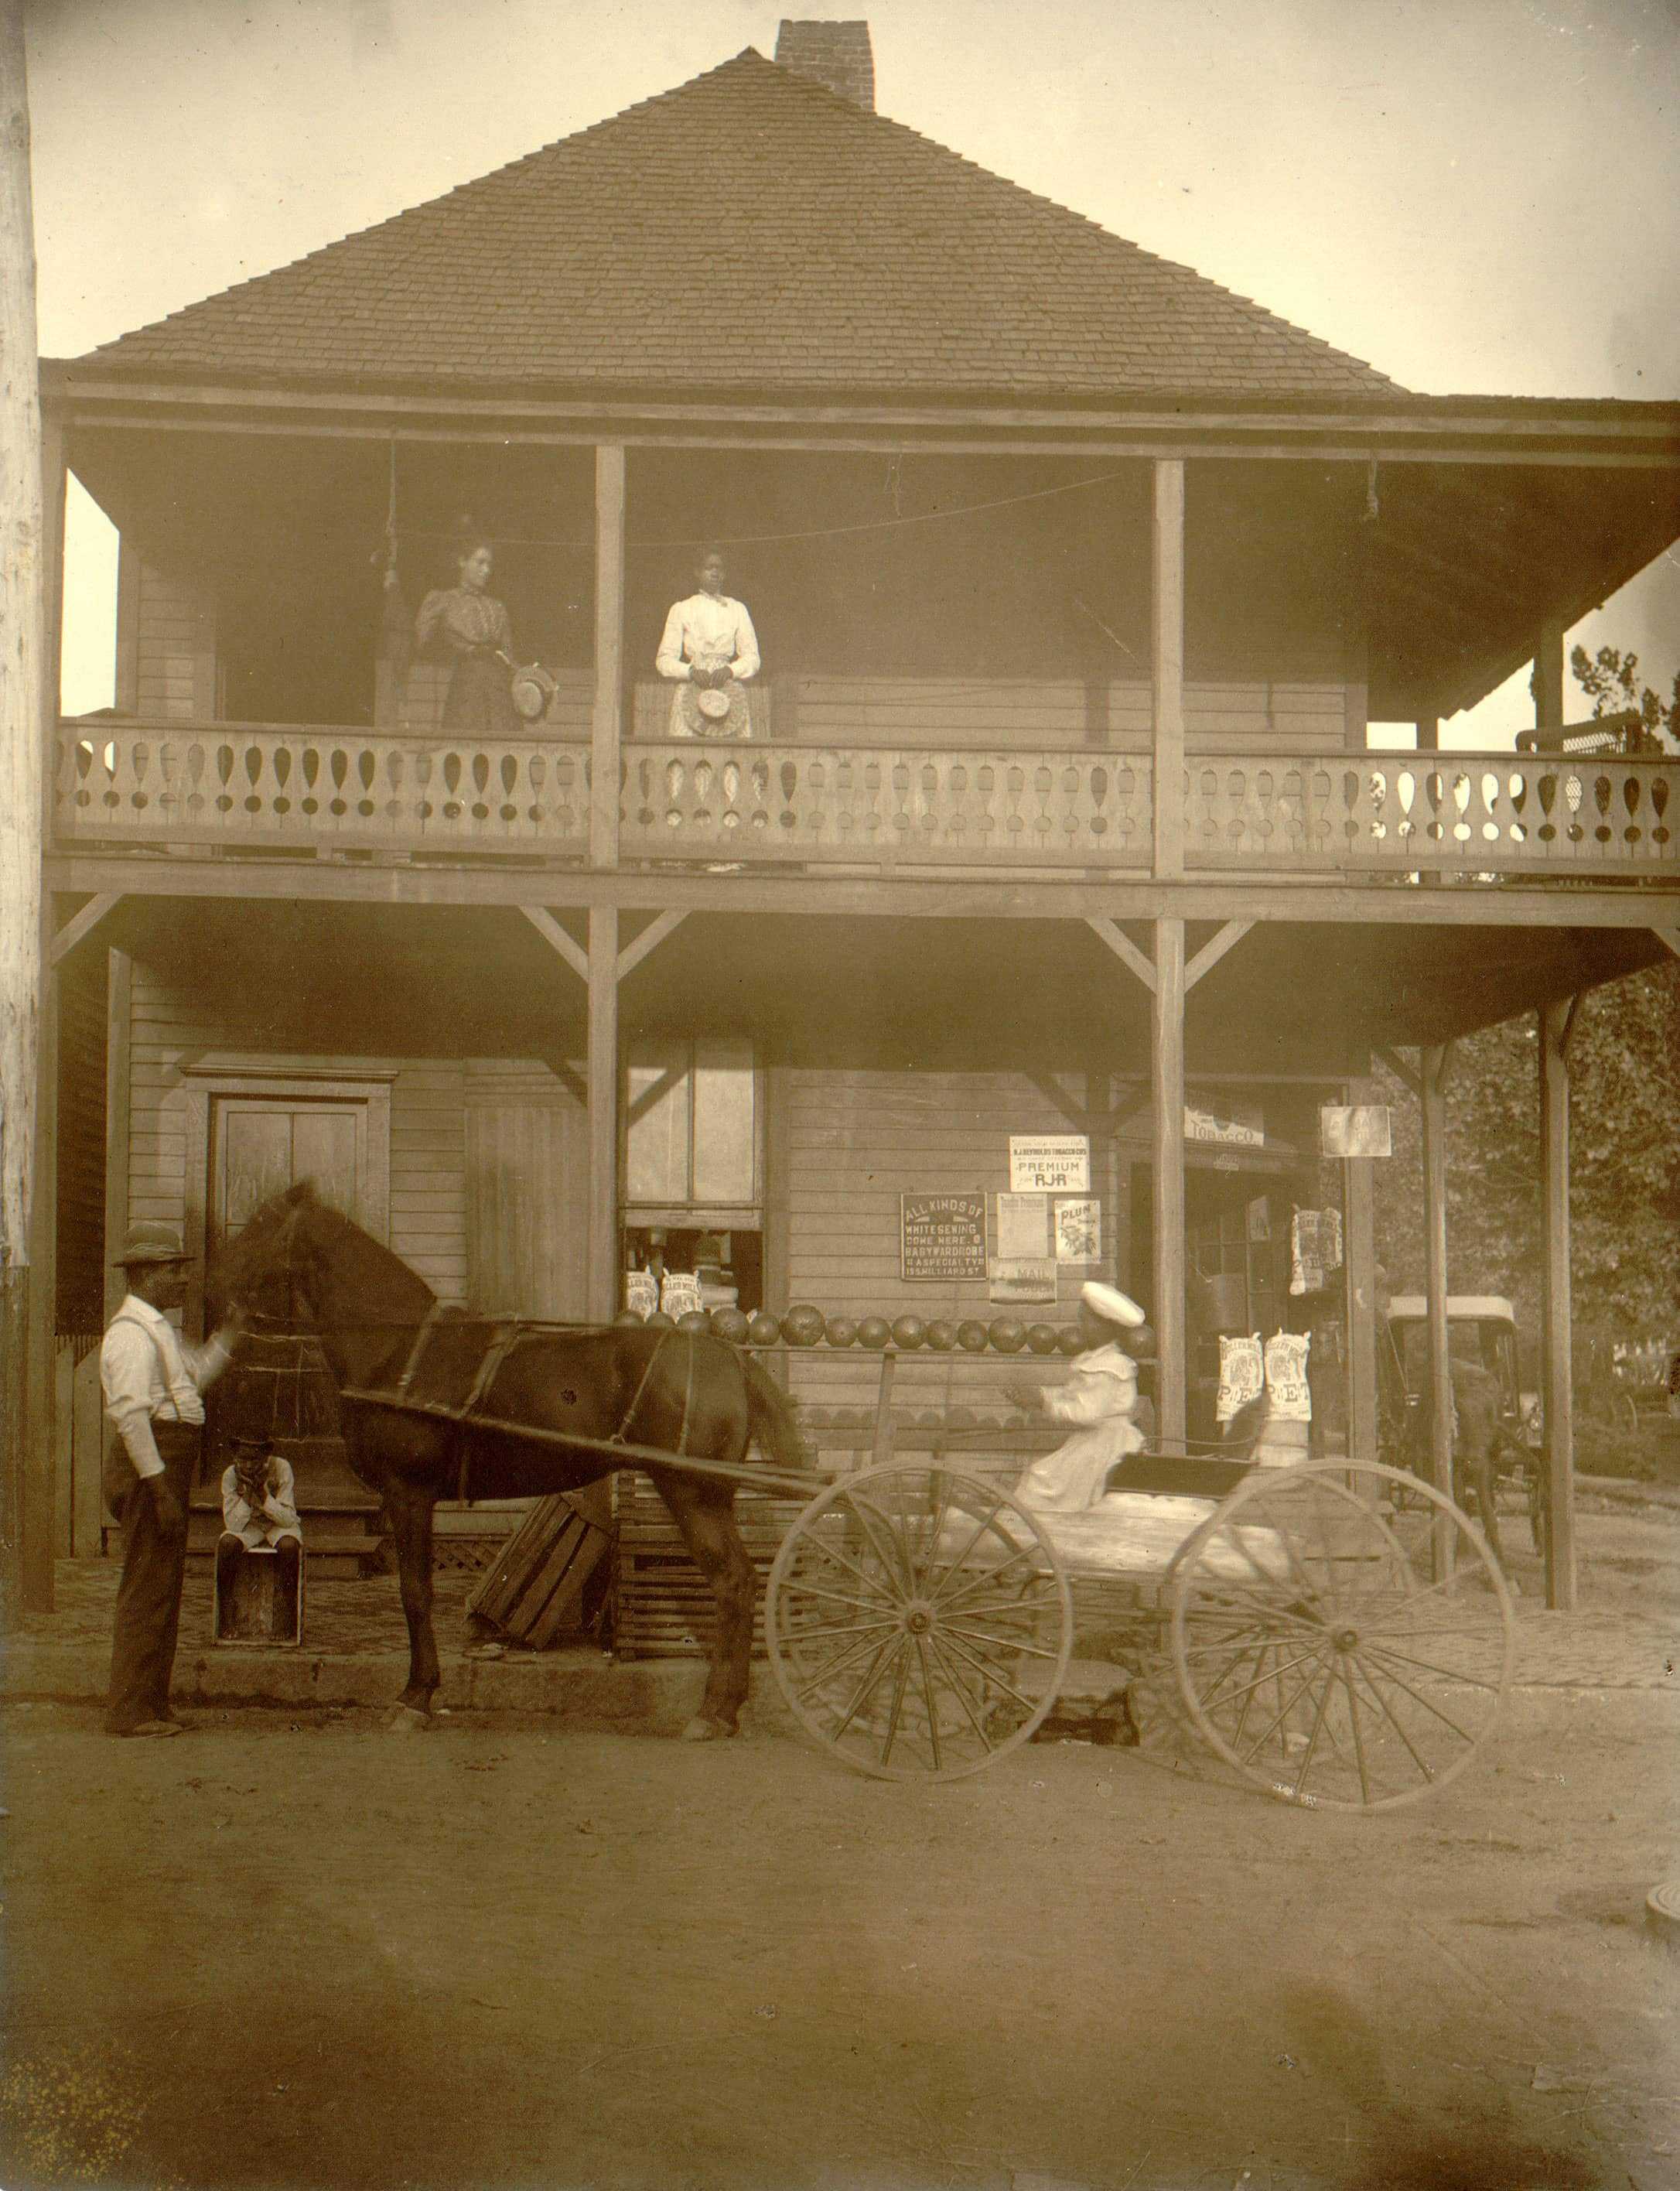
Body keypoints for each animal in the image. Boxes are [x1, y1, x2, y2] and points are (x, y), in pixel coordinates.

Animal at [210, 1191, 806, 1735]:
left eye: (261, 1223)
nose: (208, 1279)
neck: (399, 1353)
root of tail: (728, 1356)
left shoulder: (408, 1492)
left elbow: (414, 1593)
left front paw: (415, 1696)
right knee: (740, 1581)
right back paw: (725, 1708)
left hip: (692, 1492)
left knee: (732, 1581)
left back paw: (713, 1711)